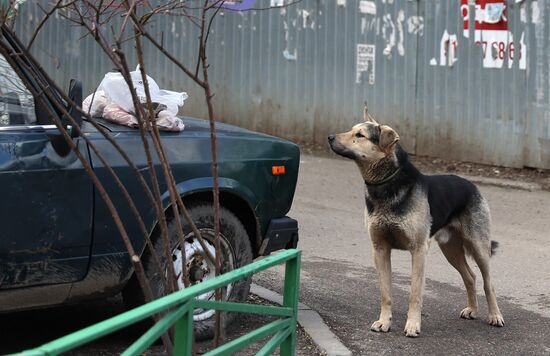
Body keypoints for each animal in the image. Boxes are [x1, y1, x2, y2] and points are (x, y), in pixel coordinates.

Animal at [330, 107, 506, 338]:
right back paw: (472, 310)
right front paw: (384, 322)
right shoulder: (380, 249)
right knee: (471, 276)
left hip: (478, 247)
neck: (386, 185)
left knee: (488, 283)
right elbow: (385, 293)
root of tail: (471, 185)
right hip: (451, 250)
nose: (330, 137)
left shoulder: (418, 250)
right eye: (351, 130)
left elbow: (415, 293)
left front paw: (413, 325)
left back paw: (495, 316)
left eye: (360, 135)